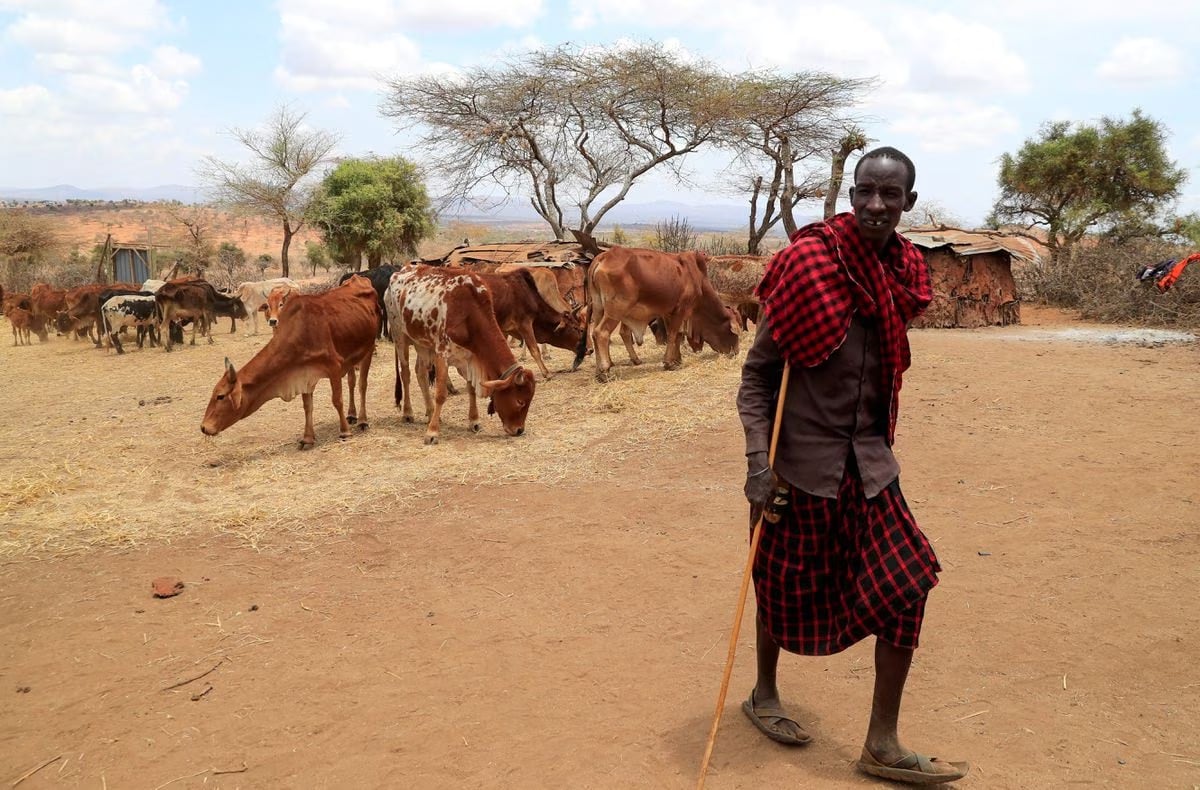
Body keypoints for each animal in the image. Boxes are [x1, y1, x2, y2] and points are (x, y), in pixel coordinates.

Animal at [200, 274, 379, 449]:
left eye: (220, 396)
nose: (203, 427)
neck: (300, 330)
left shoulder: (333, 367)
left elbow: (337, 400)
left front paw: (345, 432)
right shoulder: (304, 373)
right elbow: (307, 406)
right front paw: (308, 438)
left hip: (368, 349)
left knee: (362, 385)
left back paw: (362, 420)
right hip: (351, 357)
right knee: (351, 382)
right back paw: (352, 414)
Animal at [384, 264, 535, 441]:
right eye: (520, 401)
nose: (519, 430)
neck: (469, 312)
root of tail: (398, 272)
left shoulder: (469, 357)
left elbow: (471, 389)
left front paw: (474, 421)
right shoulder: (442, 354)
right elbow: (441, 394)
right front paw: (432, 432)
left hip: (423, 344)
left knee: (420, 372)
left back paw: (430, 411)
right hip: (399, 336)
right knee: (406, 374)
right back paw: (408, 413)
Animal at [573, 247, 739, 379]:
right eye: (733, 333)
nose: (736, 352)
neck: (697, 278)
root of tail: (602, 257)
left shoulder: (668, 312)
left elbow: (677, 336)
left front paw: (677, 359)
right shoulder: (681, 310)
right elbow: (673, 335)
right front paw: (669, 363)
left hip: (599, 308)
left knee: (596, 333)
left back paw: (602, 368)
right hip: (615, 310)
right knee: (600, 333)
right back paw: (604, 371)